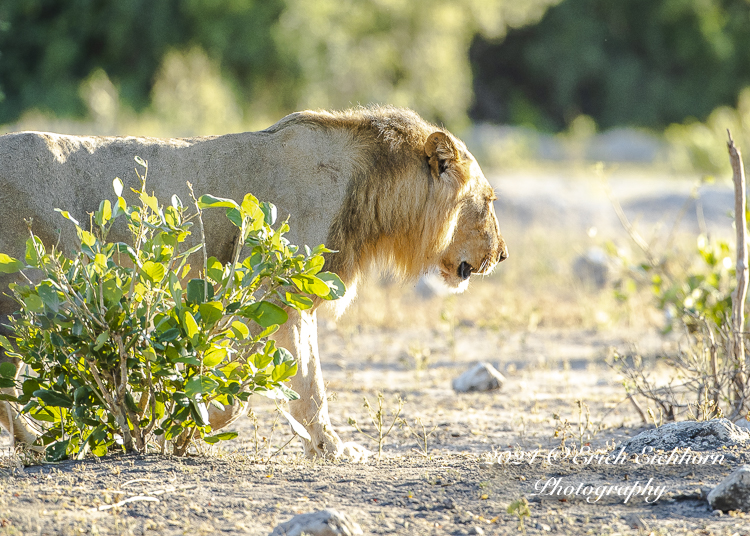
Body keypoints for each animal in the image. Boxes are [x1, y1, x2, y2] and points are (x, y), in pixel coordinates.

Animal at [0, 107, 508, 458]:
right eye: (488, 201)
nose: (502, 255)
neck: (368, 190)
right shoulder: (270, 289)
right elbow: (265, 373)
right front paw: (196, 417)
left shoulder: (298, 294)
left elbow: (308, 382)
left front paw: (330, 449)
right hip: (21, 299)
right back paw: (39, 442)